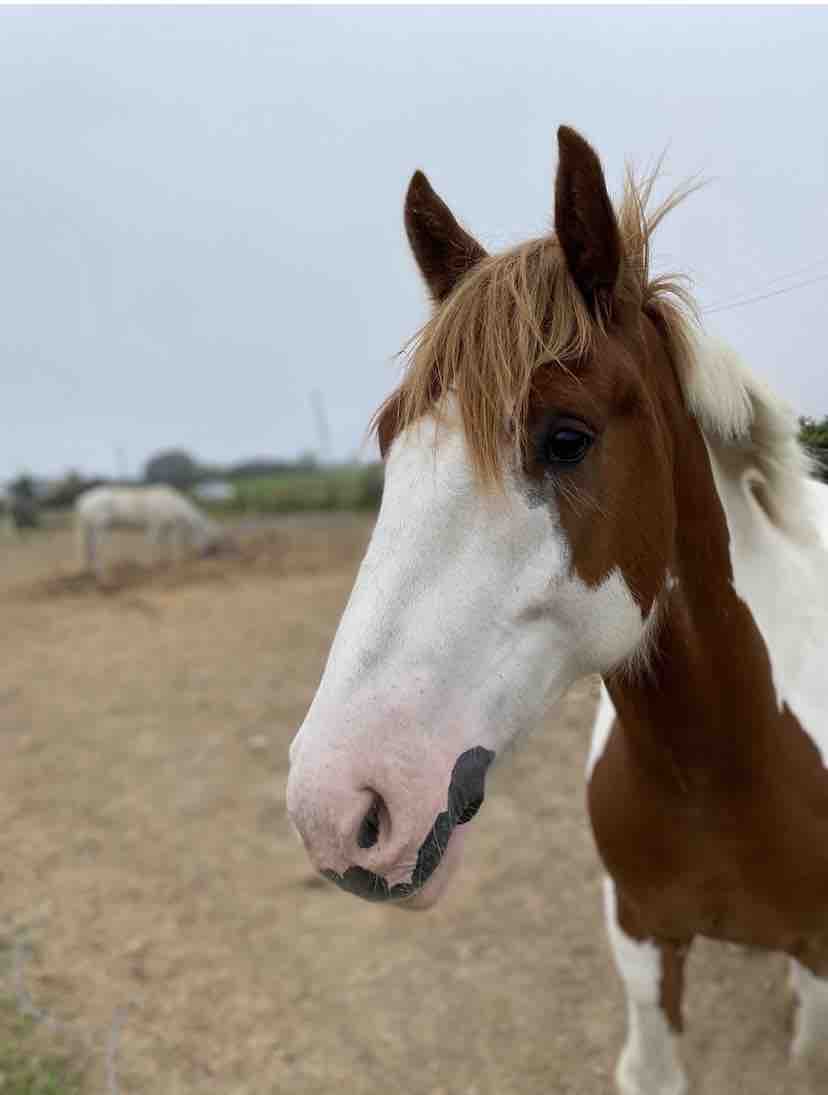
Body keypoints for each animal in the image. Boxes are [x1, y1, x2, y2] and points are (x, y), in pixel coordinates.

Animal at [75, 483, 227, 577]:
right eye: (210, 537)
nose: (208, 555)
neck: (172, 504)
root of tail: (84, 500)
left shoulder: (166, 528)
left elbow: (164, 544)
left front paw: (163, 563)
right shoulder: (157, 526)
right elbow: (157, 544)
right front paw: (154, 565)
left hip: (89, 529)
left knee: (88, 549)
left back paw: (89, 573)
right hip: (99, 529)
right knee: (97, 549)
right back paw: (103, 574)